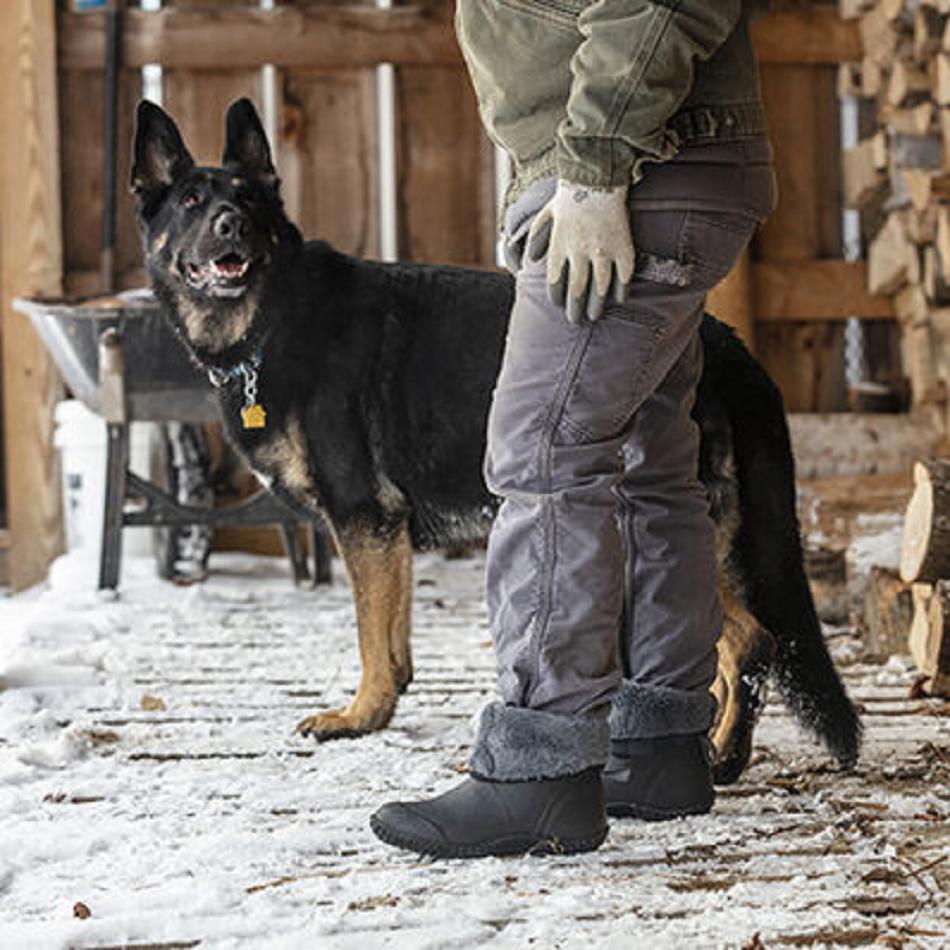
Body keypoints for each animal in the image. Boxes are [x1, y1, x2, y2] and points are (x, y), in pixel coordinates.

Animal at [128, 96, 864, 784]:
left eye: (248, 200)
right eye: (192, 202)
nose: (231, 225)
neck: (273, 317)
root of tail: (728, 344)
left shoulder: (363, 517)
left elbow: (368, 633)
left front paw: (359, 715)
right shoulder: (386, 531)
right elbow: (392, 634)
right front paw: (385, 705)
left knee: (749, 640)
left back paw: (723, 754)